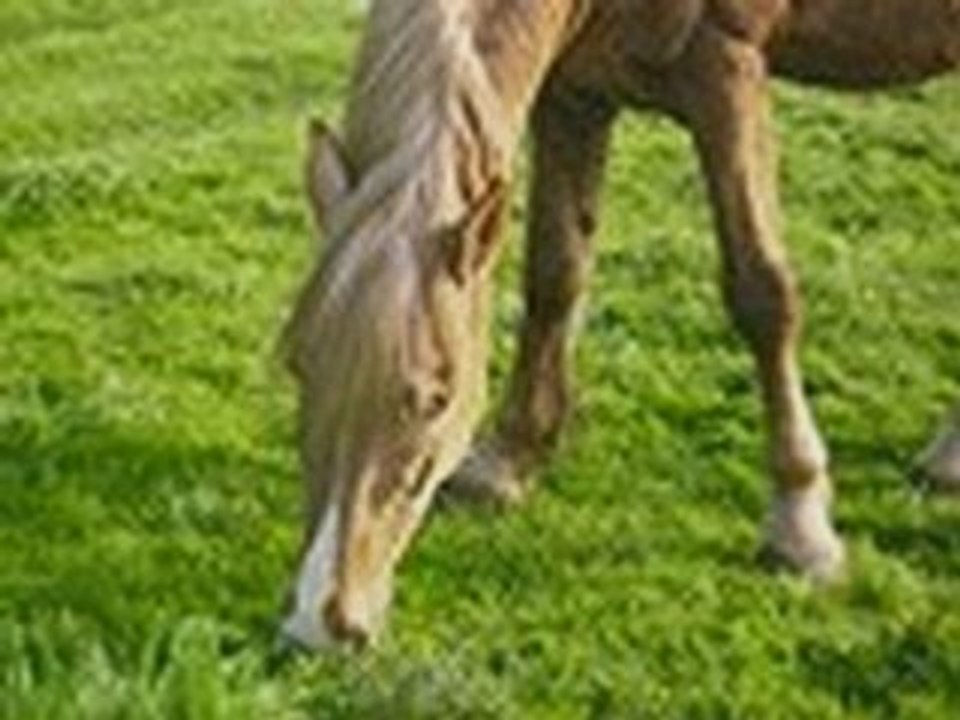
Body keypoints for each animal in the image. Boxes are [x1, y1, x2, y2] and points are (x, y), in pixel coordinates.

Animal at [279, 0, 960, 650]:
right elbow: (555, 275)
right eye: (299, 366)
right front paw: (506, 461)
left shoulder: (730, 69)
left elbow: (763, 296)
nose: (321, 619)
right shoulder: (574, 91)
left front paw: (800, 522)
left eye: (436, 397)